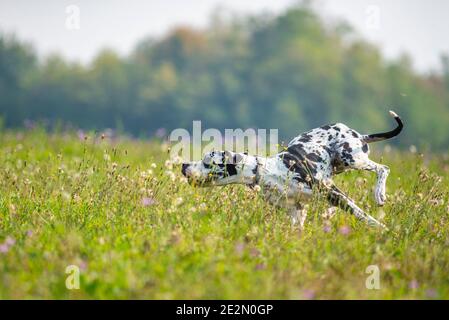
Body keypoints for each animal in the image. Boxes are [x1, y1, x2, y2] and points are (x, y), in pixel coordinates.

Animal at [181, 111, 402, 229]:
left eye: (207, 161)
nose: (183, 165)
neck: (266, 173)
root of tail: (359, 134)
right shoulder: (297, 211)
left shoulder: (333, 193)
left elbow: (361, 214)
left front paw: (382, 229)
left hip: (351, 157)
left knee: (383, 168)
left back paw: (379, 193)